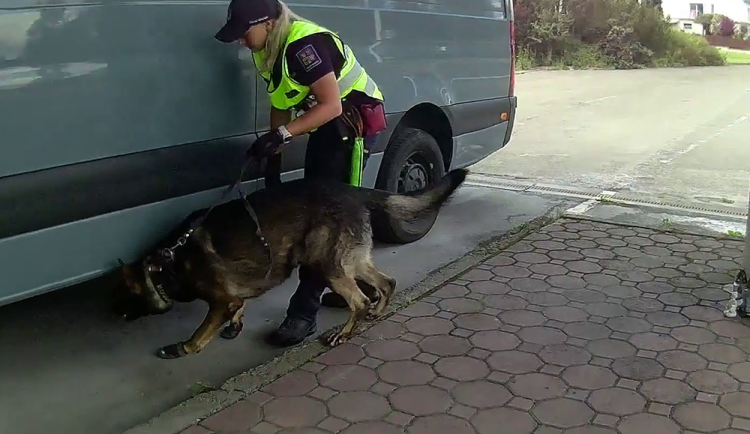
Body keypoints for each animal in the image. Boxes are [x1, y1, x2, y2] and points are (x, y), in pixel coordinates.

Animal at [116, 168, 470, 358]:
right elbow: (240, 306)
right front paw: (235, 324)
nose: (118, 315)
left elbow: (201, 332)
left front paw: (184, 348)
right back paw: (377, 312)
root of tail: (354, 190)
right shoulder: (235, 295)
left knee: (359, 299)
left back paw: (344, 333)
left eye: (126, 297)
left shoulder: (219, 300)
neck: (167, 262)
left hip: (326, 265)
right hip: (350, 260)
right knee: (385, 282)